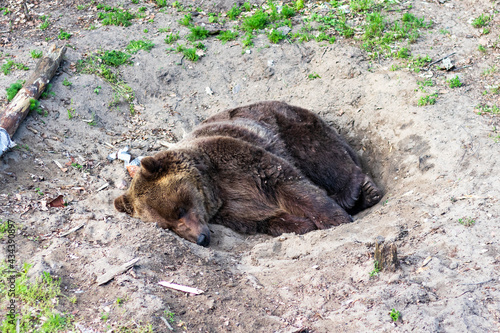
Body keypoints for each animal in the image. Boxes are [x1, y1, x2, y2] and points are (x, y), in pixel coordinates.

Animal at [115, 100, 382, 245]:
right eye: (166, 226)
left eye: (179, 210)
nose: (201, 239)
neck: (213, 187)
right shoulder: (233, 210)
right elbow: (266, 217)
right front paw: (302, 224)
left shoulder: (238, 159)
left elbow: (289, 184)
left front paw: (336, 219)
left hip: (288, 125)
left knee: (323, 155)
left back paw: (357, 193)